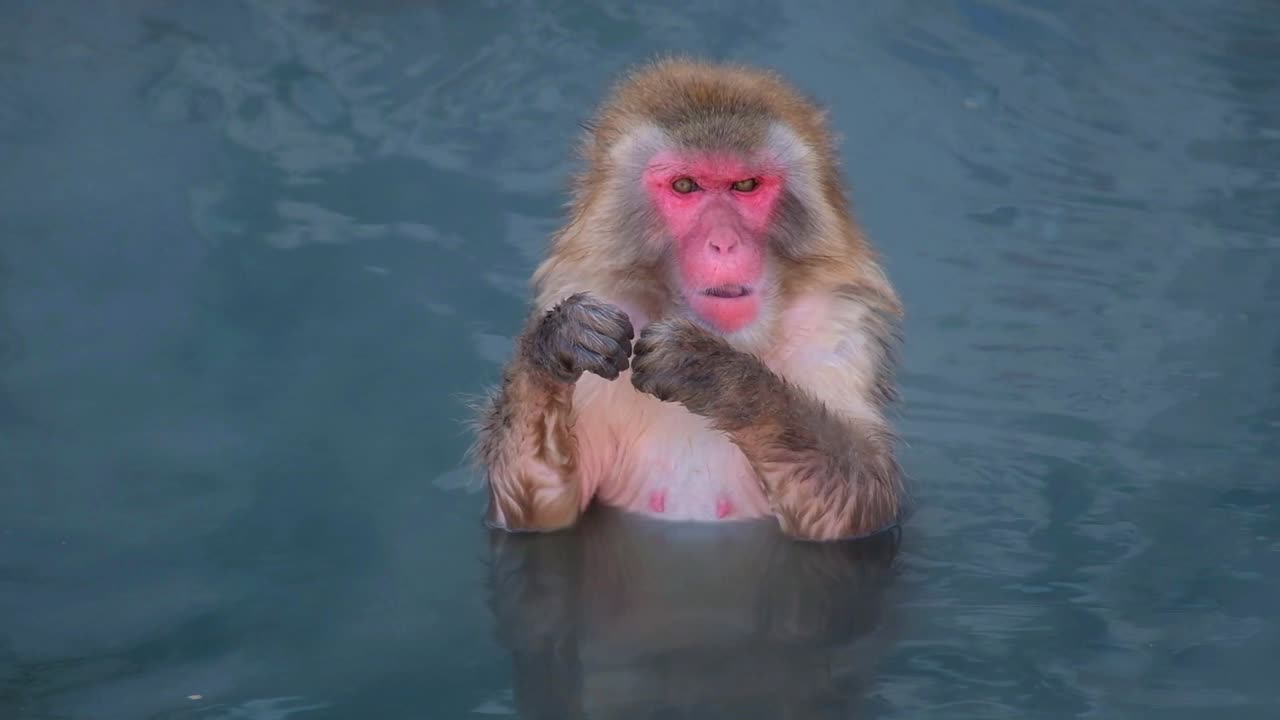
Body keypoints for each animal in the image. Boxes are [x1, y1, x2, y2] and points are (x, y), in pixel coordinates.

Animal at [471, 57, 904, 542]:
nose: (724, 243)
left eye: (745, 185)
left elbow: (860, 499)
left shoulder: (838, 327)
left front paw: (713, 372)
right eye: (685, 186)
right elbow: (537, 505)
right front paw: (558, 340)